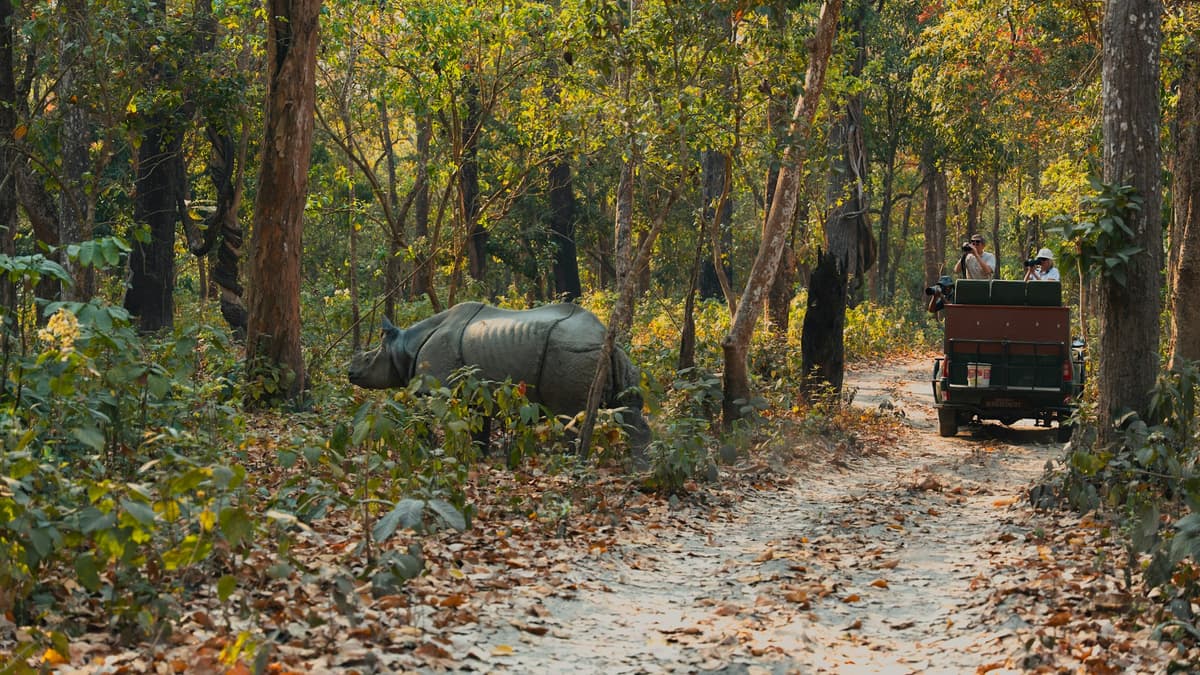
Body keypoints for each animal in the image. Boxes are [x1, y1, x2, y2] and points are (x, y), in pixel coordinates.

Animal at [348, 302, 648, 444]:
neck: (403, 347)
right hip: (612, 355)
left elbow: (425, 420)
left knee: (569, 415)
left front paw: (426, 452)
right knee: (630, 410)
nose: (350, 372)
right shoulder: (478, 393)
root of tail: (604, 338)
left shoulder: (432, 389)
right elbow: (480, 428)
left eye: (368, 358)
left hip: (572, 352)